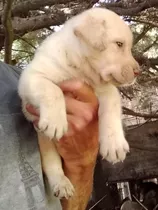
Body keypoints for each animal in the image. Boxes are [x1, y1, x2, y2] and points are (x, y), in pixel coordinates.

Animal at [18, 7, 139, 199]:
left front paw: (114, 144)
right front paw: (56, 121)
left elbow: (112, 107)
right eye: (119, 44)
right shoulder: (31, 78)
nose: (138, 72)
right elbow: (52, 90)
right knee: (52, 163)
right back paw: (62, 184)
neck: (79, 69)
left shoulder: (106, 90)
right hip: (44, 141)